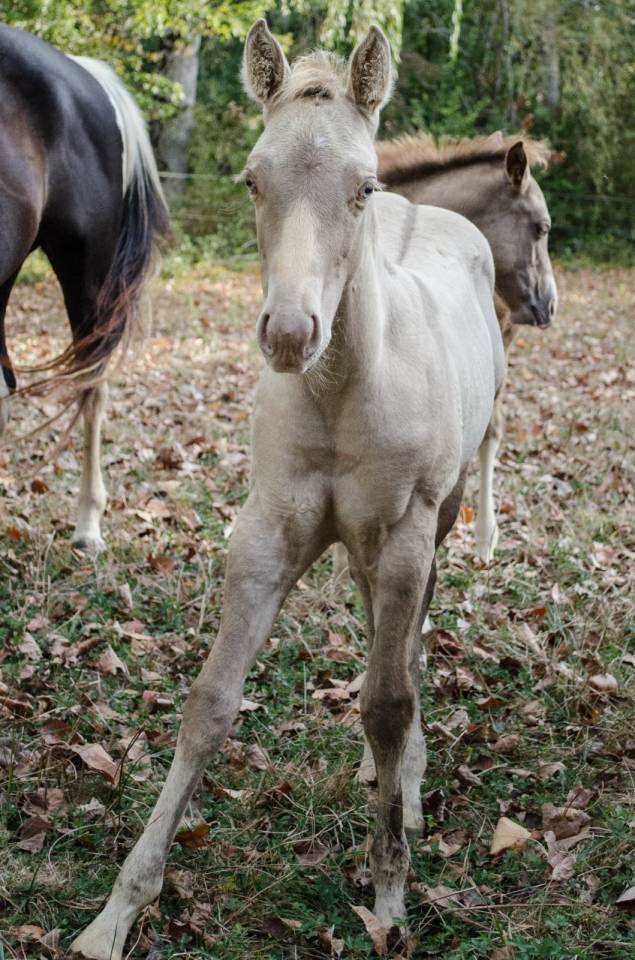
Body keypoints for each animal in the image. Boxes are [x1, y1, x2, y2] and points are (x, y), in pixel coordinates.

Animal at [71, 21, 505, 957]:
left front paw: (389, 894)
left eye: (364, 185)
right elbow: (210, 701)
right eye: (251, 178)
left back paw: (406, 783)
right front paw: (115, 912)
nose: (288, 333)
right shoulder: (266, 533)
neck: (342, 388)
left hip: (438, 516)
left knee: (407, 641)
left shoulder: (407, 533)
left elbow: (387, 699)